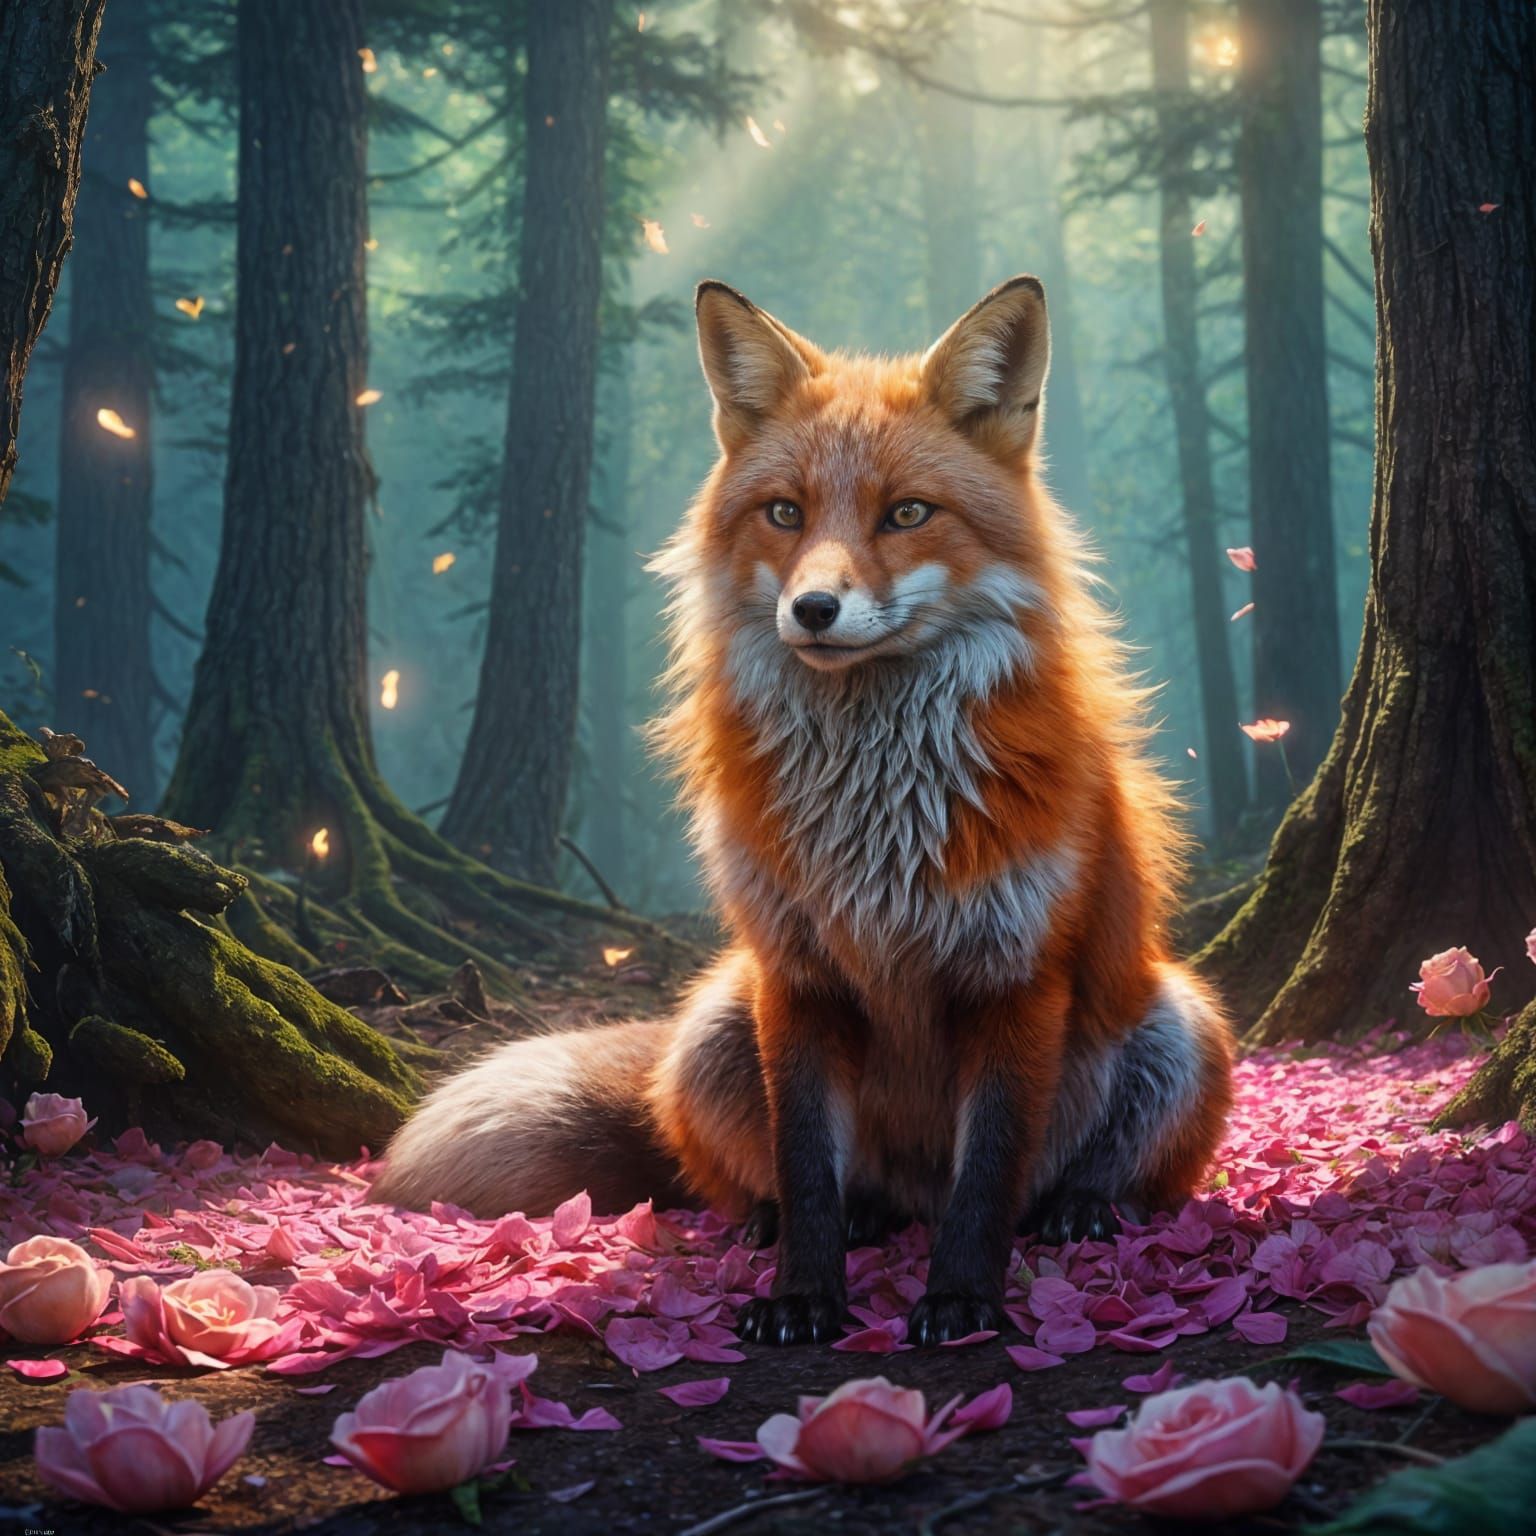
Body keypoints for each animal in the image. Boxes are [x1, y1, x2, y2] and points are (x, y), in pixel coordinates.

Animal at [373, 275, 1234, 1346]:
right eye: (785, 512)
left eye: (907, 512)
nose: (814, 609)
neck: (877, 820)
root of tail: (909, 1194)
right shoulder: (796, 973)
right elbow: (806, 1163)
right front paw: (802, 1296)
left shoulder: (1016, 975)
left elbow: (989, 1174)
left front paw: (962, 1300)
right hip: (713, 1023)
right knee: (763, 1183)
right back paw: (793, 1223)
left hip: (1179, 1022)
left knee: (1098, 1180)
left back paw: (1081, 1207)